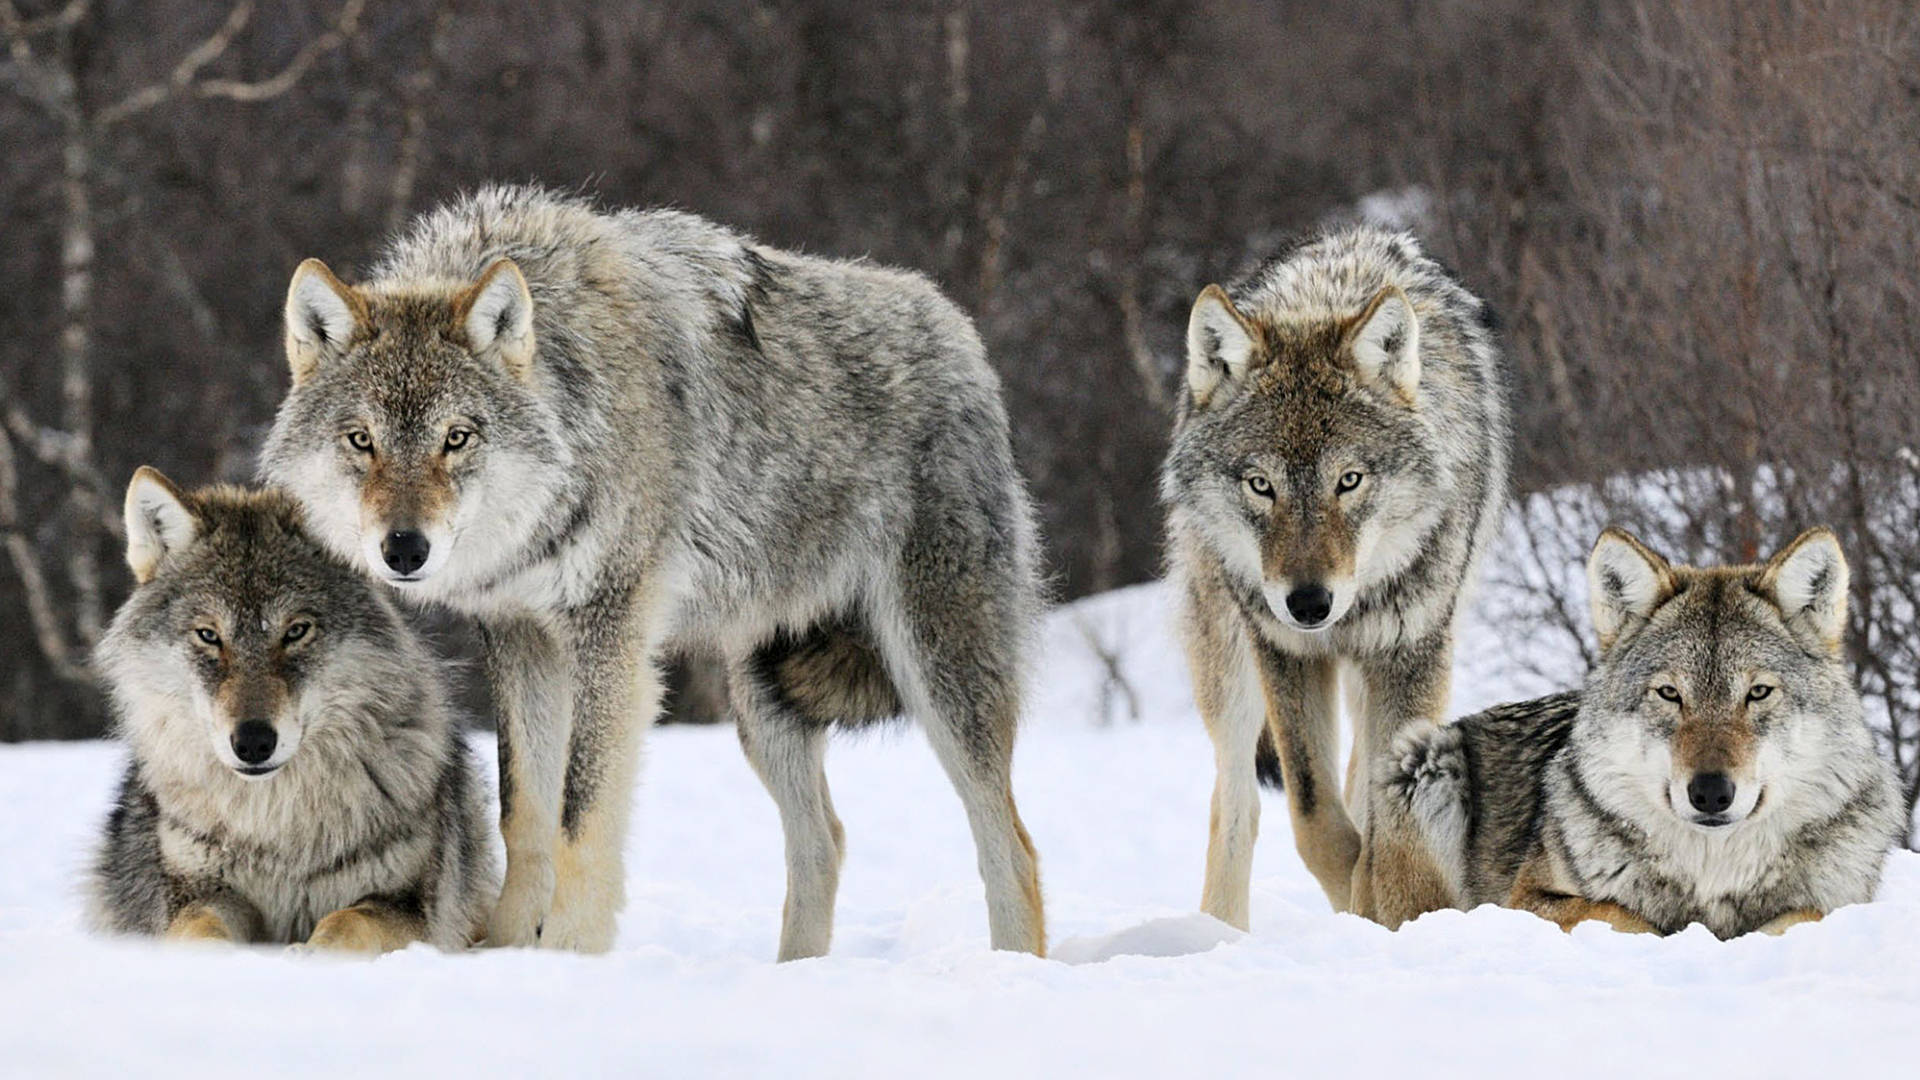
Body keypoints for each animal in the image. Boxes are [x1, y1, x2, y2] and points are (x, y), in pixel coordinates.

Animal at [90, 466, 499, 945]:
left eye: (296, 631)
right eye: (209, 635)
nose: (253, 742)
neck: (276, 826)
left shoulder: (405, 904)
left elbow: (345, 923)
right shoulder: (200, 893)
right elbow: (201, 931)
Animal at [259, 189, 1052, 953]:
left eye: (456, 438)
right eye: (361, 440)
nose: (404, 549)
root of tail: (959, 331)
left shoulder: (610, 634)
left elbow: (580, 817)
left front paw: (568, 954)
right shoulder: (521, 638)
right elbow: (524, 814)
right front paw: (508, 951)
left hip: (938, 675)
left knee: (1011, 846)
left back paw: (1009, 969)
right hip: (763, 702)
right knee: (823, 842)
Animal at [1152, 226, 1512, 926]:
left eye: (1349, 480)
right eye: (1261, 485)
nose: (1310, 603)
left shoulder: (1411, 652)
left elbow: (1382, 815)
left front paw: (1383, 905)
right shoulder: (1286, 651)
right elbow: (1315, 816)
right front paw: (1358, 900)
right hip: (1228, 662)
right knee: (1235, 802)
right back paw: (1218, 932)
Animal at [1382, 526, 1904, 930]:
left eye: (1758, 693)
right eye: (1670, 694)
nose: (1710, 792)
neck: (1712, 874)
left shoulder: (1837, 903)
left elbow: (1803, 915)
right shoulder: (1526, 900)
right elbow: (1624, 915)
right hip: (1425, 758)